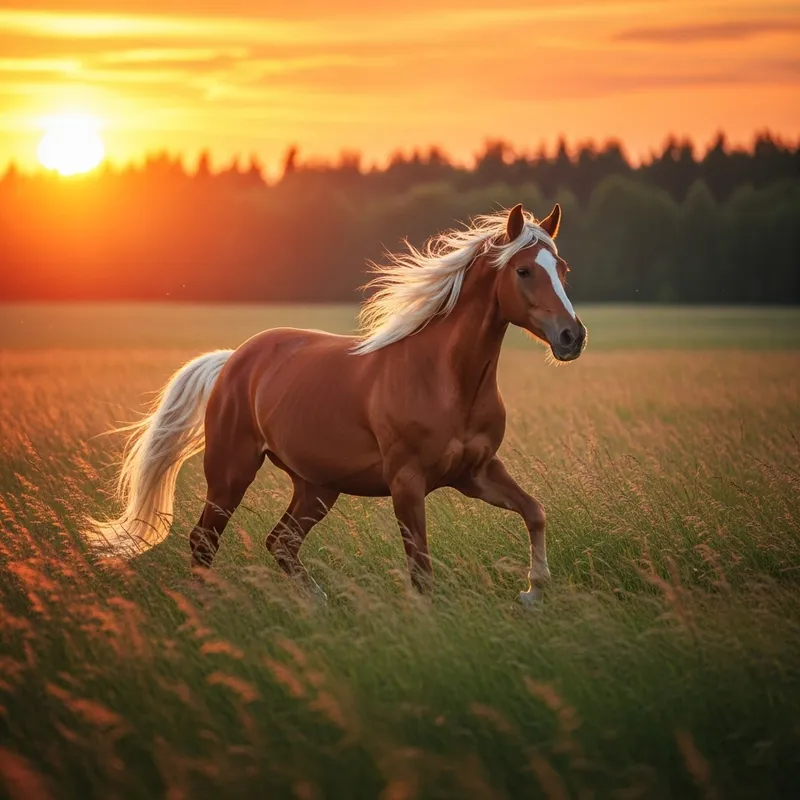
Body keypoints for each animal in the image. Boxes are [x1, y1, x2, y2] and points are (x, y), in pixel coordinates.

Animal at [87, 203, 587, 605]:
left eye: (563, 269)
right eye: (524, 271)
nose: (572, 337)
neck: (446, 380)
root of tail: (233, 360)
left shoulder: (476, 473)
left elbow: (534, 512)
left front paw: (532, 593)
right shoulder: (407, 483)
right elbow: (421, 569)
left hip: (317, 485)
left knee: (281, 542)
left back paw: (318, 603)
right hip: (232, 470)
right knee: (204, 539)